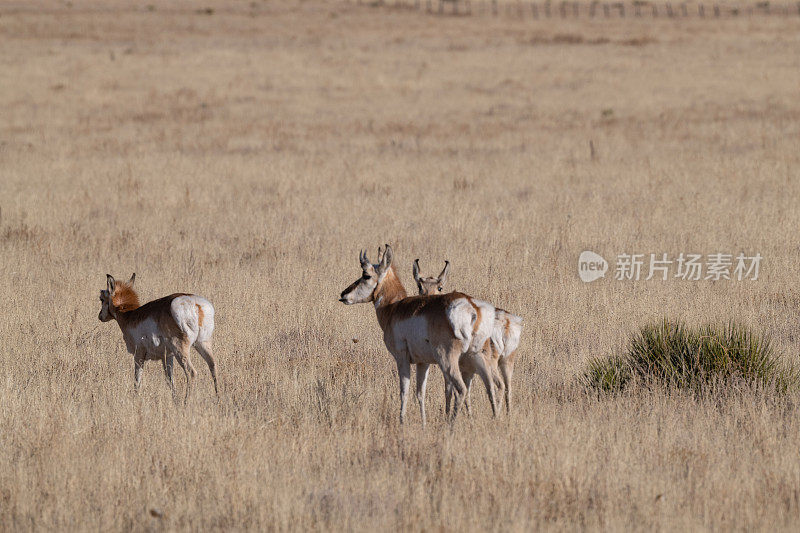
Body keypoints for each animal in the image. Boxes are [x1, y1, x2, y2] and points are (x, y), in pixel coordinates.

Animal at [340, 245, 500, 424]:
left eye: (366, 275)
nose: (343, 295)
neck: (394, 307)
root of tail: (470, 307)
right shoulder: (423, 363)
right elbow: (420, 393)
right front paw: (423, 423)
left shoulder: (402, 358)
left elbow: (404, 391)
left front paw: (402, 422)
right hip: (478, 358)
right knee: (491, 386)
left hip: (448, 360)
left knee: (461, 389)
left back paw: (450, 425)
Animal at [412, 260, 524, 414]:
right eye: (420, 286)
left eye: (440, 287)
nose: (425, 300)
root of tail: (505, 322)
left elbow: (449, 390)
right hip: (506, 362)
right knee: (508, 387)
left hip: (490, 364)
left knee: (497, 385)